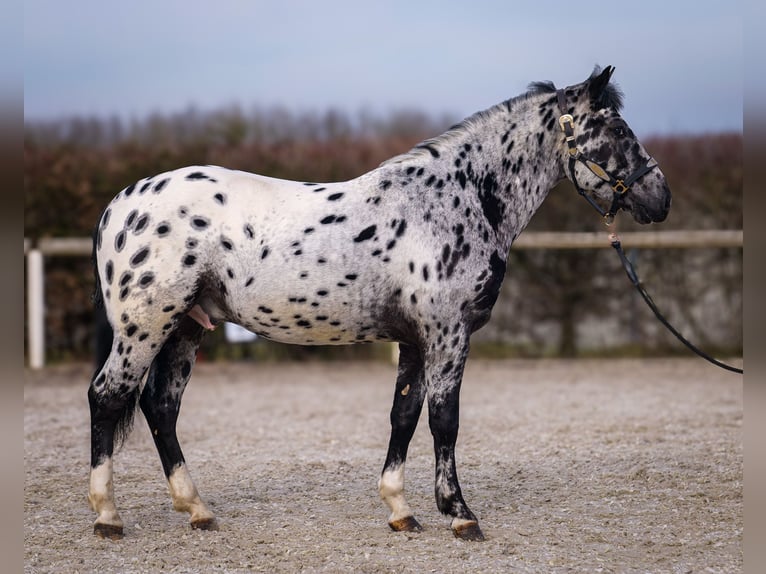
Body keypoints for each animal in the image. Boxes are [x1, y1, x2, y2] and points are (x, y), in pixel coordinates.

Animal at [85, 65, 672, 544]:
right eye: (618, 131)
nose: (660, 198)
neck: (455, 198)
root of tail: (119, 206)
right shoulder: (448, 333)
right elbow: (444, 419)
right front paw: (459, 514)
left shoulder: (415, 340)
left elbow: (403, 416)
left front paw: (401, 510)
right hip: (146, 326)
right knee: (108, 396)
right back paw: (108, 516)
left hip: (186, 327)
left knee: (160, 407)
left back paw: (197, 510)